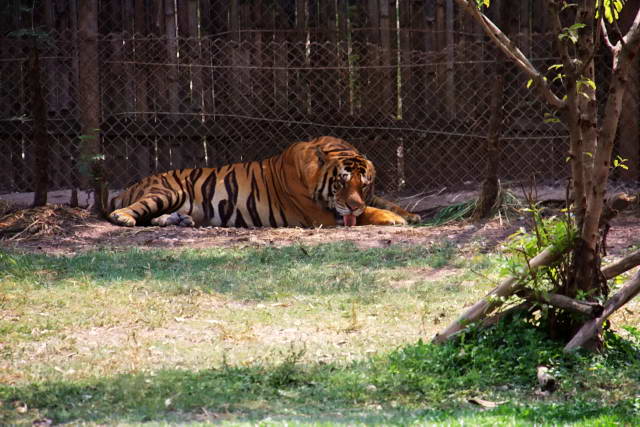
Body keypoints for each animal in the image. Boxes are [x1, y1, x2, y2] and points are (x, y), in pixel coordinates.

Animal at [107, 138, 422, 231]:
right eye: (340, 184)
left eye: (364, 184)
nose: (353, 204)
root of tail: (134, 185)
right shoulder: (320, 213)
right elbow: (369, 211)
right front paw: (393, 219)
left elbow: (382, 201)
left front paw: (410, 213)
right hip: (165, 191)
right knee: (129, 211)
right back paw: (123, 217)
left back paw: (178, 220)